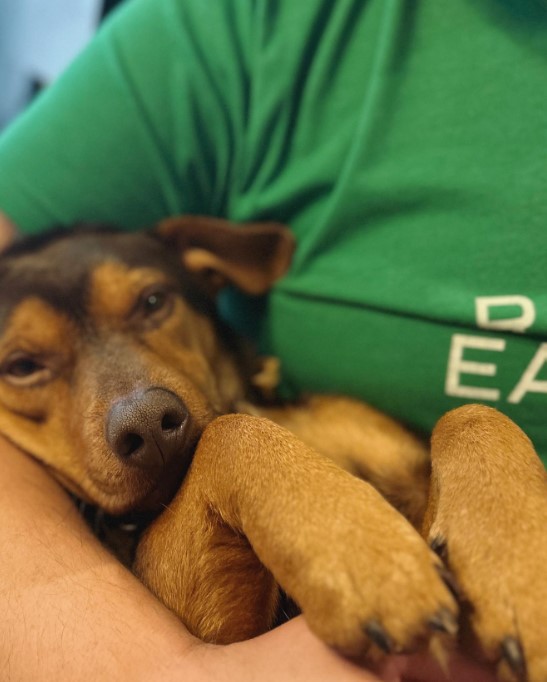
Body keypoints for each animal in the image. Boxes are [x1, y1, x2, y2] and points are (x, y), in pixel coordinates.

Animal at [1, 215, 547, 676]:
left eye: (153, 302)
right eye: (21, 367)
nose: (150, 425)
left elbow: (473, 414)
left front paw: (516, 565)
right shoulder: (214, 631)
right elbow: (228, 430)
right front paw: (359, 554)